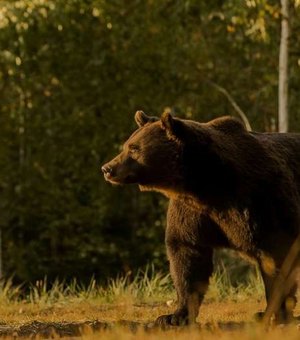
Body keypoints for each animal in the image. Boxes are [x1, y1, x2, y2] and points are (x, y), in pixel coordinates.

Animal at [101, 110, 300, 326]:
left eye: (134, 148)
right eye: (126, 145)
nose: (107, 168)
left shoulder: (261, 201)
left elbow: (277, 257)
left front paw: (276, 312)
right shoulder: (192, 212)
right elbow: (187, 256)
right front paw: (173, 316)